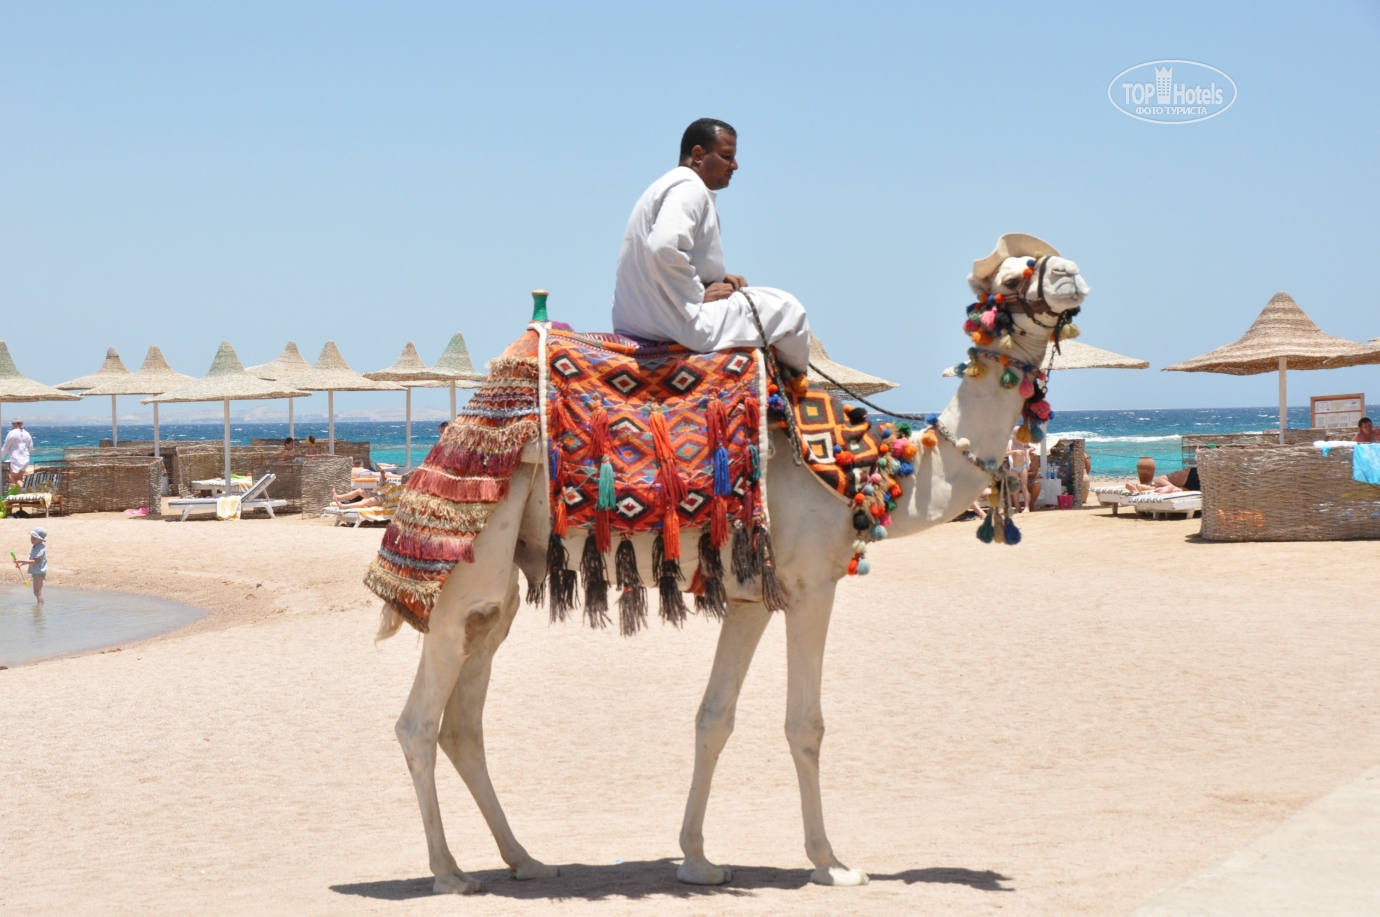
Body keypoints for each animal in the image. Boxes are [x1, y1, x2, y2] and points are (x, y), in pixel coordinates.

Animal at [375, 237, 1087, 894]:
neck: (867, 473)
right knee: (417, 725)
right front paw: (831, 863)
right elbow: (806, 725)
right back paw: (448, 873)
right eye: (1013, 278)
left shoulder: (750, 599)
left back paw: (524, 859)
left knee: (463, 724)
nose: (1071, 273)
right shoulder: (811, 586)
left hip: (496, 599)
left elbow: (713, 718)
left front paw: (696, 860)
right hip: (465, 573)